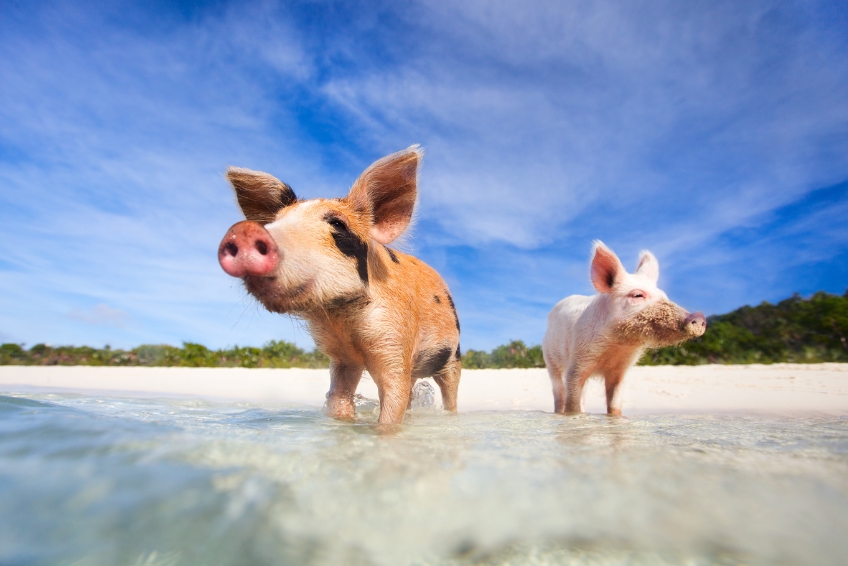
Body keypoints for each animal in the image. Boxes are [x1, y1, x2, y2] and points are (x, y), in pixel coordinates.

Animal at [217, 146, 461, 425]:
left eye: (337, 224)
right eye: (273, 222)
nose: (244, 231)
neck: (343, 320)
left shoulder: (395, 340)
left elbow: (392, 402)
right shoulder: (342, 358)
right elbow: (339, 398)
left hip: (453, 357)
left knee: (449, 392)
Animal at [542, 241, 706, 416]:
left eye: (664, 296)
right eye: (638, 295)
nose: (699, 317)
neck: (617, 345)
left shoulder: (620, 369)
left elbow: (615, 404)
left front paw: (614, 417)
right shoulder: (578, 361)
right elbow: (572, 403)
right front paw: (572, 416)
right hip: (550, 358)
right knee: (559, 392)